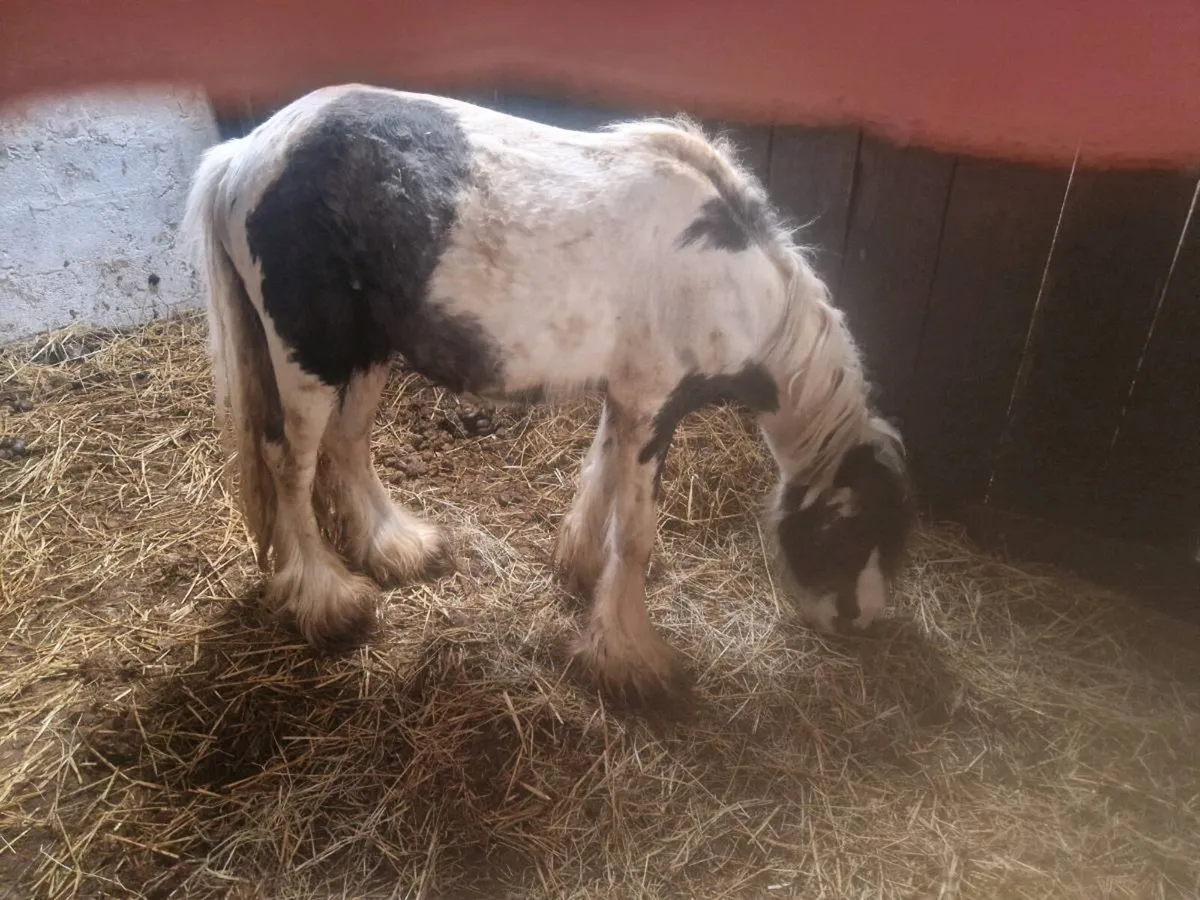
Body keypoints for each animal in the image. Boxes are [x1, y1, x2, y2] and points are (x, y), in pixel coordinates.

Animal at [181, 83, 917, 705]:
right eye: (852, 535)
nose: (859, 622)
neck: (723, 282)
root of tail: (245, 153)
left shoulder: (630, 400)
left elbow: (600, 479)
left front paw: (581, 572)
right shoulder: (654, 406)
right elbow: (636, 532)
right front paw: (632, 659)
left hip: (366, 353)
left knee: (347, 445)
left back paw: (398, 549)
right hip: (309, 360)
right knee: (290, 465)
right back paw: (330, 599)